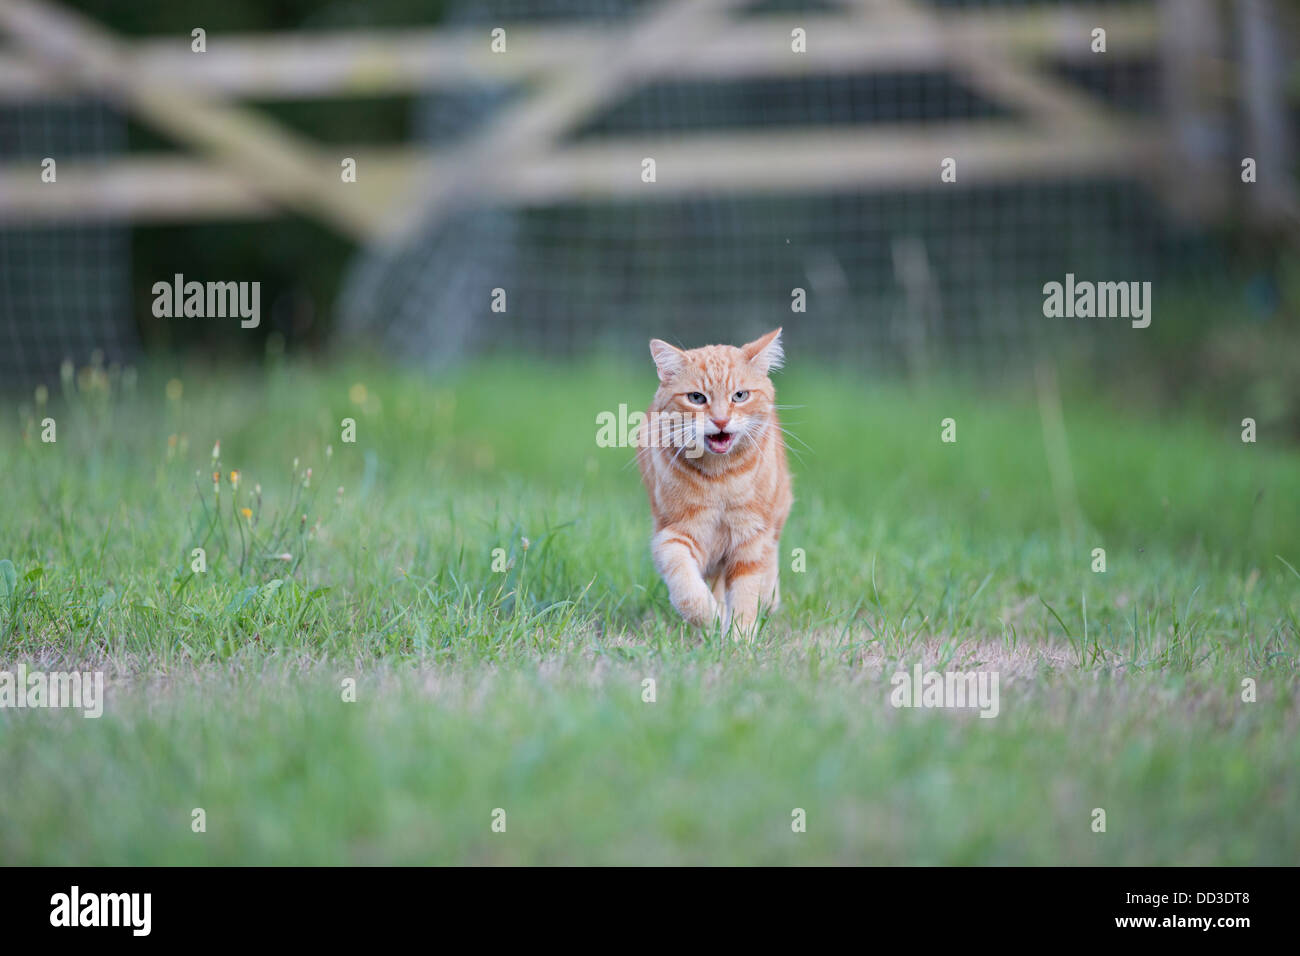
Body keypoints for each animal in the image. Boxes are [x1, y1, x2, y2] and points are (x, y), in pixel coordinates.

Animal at [637, 327, 790, 634]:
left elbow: (746, 592)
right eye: (697, 398)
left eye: (740, 395)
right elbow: (687, 588)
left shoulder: (750, 537)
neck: (721, 478)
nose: (720, 421)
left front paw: (741, 636)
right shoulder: (675, 535)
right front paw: (711, 621)